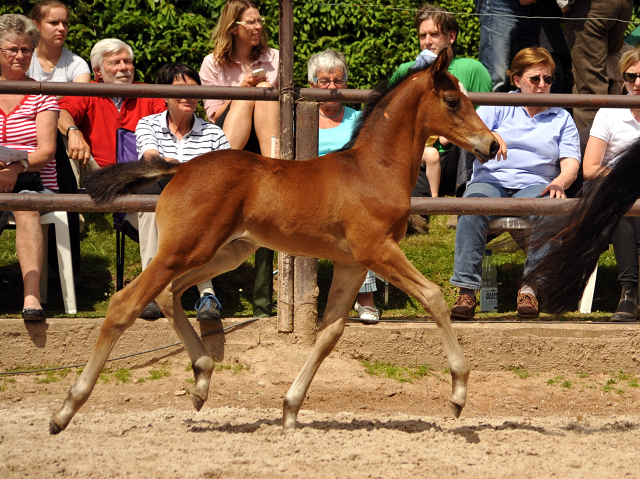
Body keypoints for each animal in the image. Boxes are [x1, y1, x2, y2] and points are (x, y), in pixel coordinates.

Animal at [50, 48, 500, 436]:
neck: (373, 169)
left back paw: (201, 380)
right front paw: (459, 393)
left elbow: (329, 333)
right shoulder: (379, 250)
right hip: (184, 249)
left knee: (168, 295)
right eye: (453, 101)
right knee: (125, 303)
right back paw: (65, 410)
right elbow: (433, 296)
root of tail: (179, 168)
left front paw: (290, 409)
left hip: (224, 252)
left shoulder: (354, 263)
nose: (492, 144)